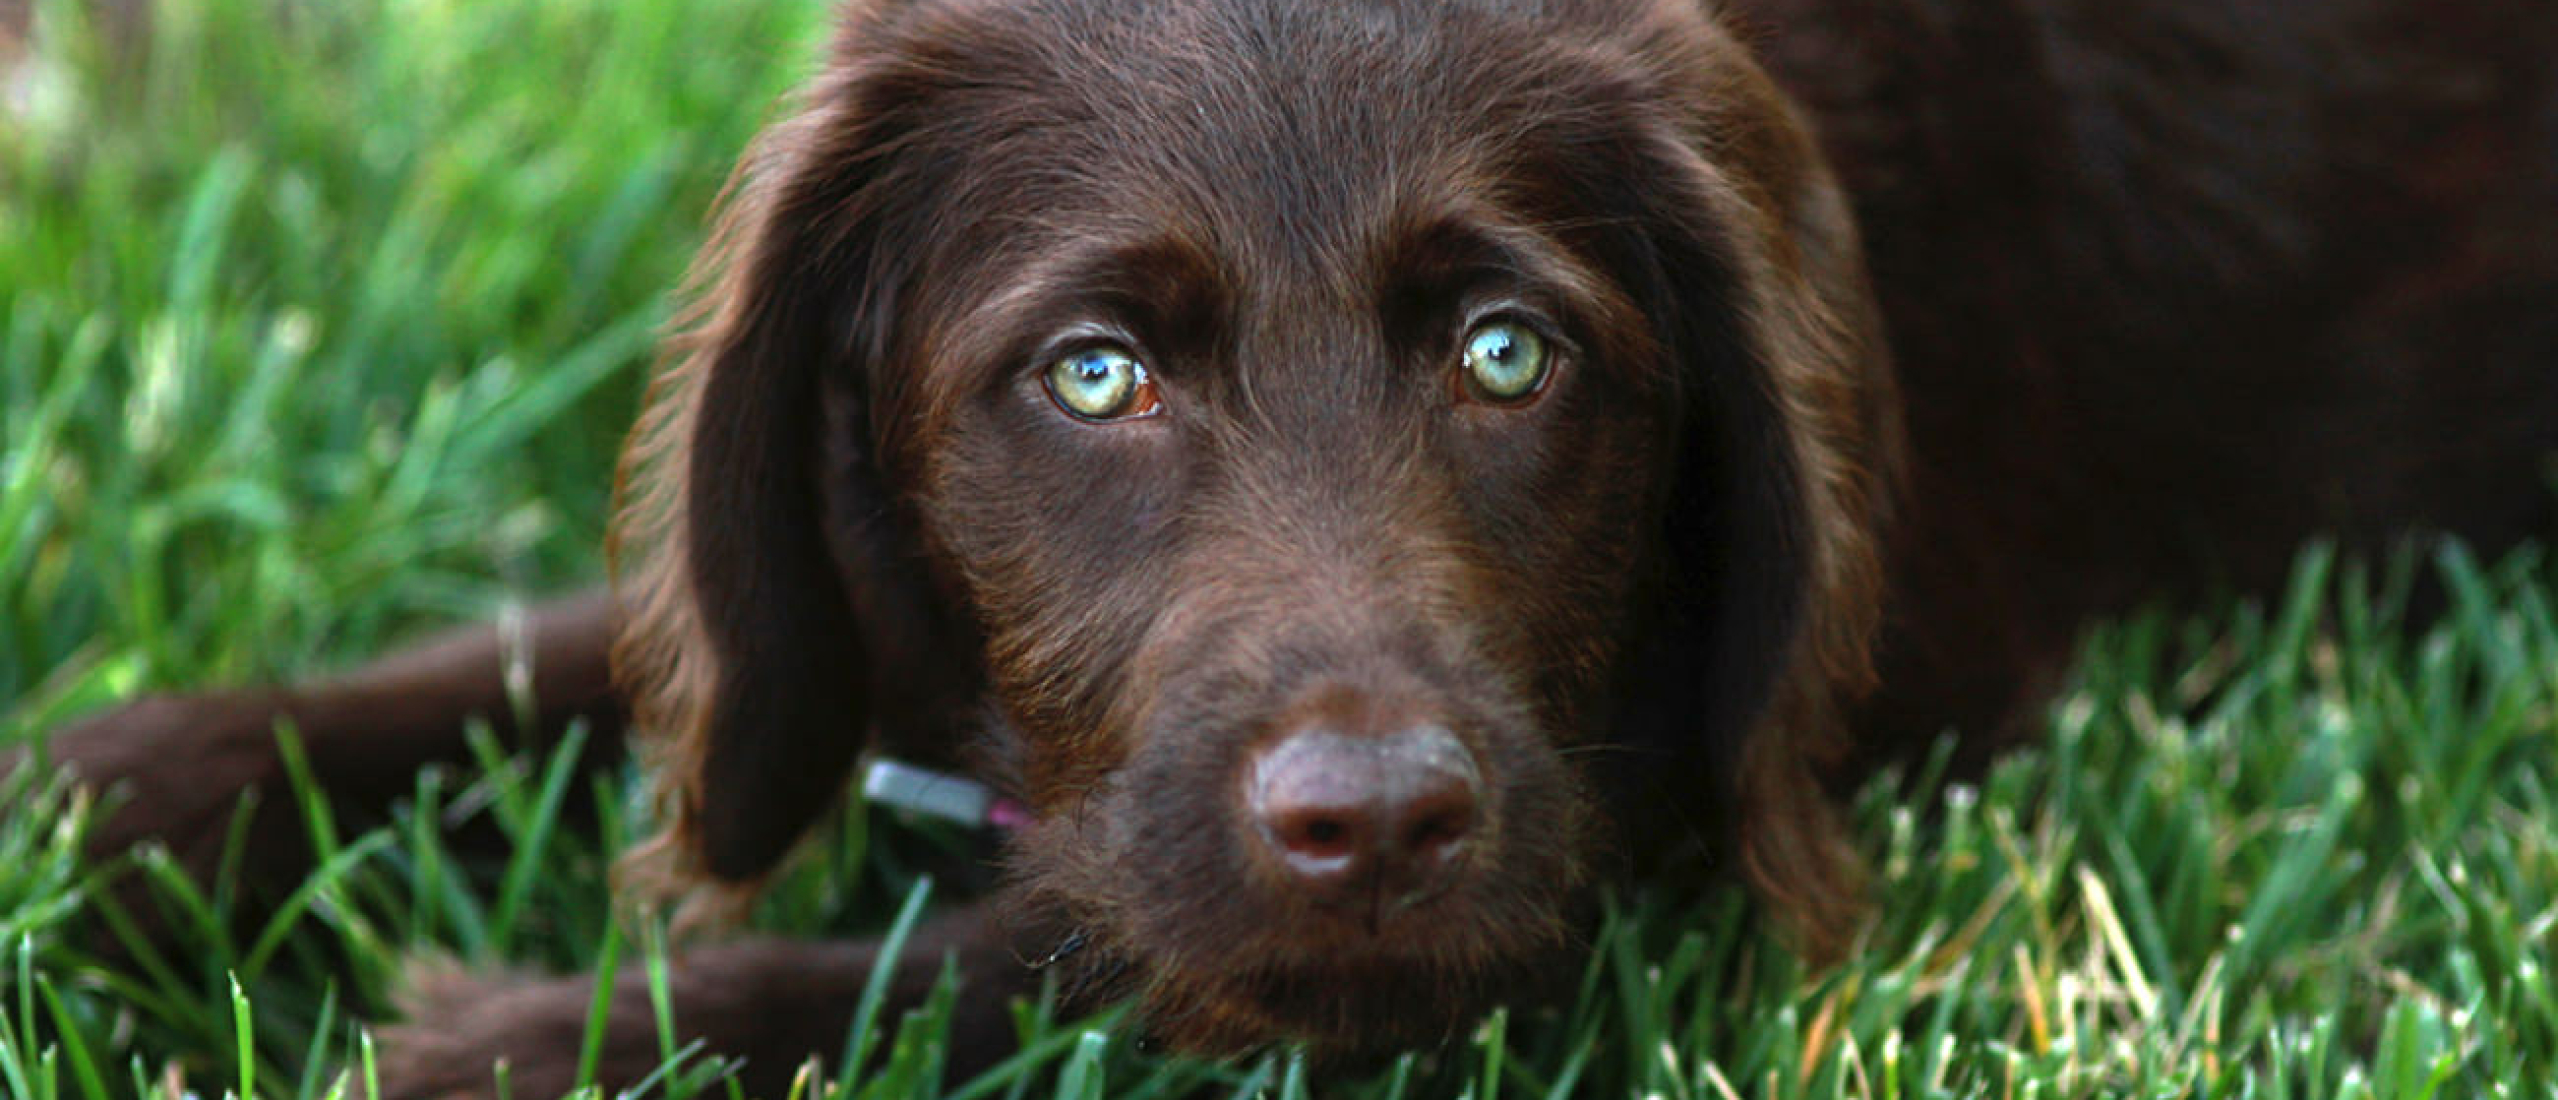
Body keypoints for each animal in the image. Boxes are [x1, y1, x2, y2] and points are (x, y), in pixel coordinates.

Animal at [24, 0, 2558, 1094]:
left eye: (1515, 357)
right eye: (1089, 378)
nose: (1376, 819)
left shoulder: (1606, 840)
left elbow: (1045, 955)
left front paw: (506, 1042)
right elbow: (586, 665)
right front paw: (97, 814)